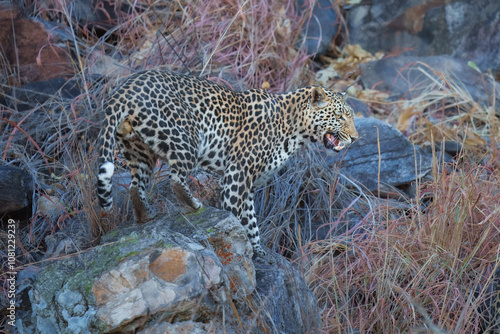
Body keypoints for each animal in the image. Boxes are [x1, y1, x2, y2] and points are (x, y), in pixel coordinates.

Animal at [96, 70, 356, 258]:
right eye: (340, 117)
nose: (355, 138)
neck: (296, 129)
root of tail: (123, 89)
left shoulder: (248, 183)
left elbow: (251, 219)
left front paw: (257, 250)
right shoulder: (237, 173)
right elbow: (236, 212)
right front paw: (238, 243)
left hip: (138, 150)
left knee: (135, 185)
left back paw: (146, 215)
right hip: (185, 137)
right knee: (177, 178)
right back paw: (194, 205)